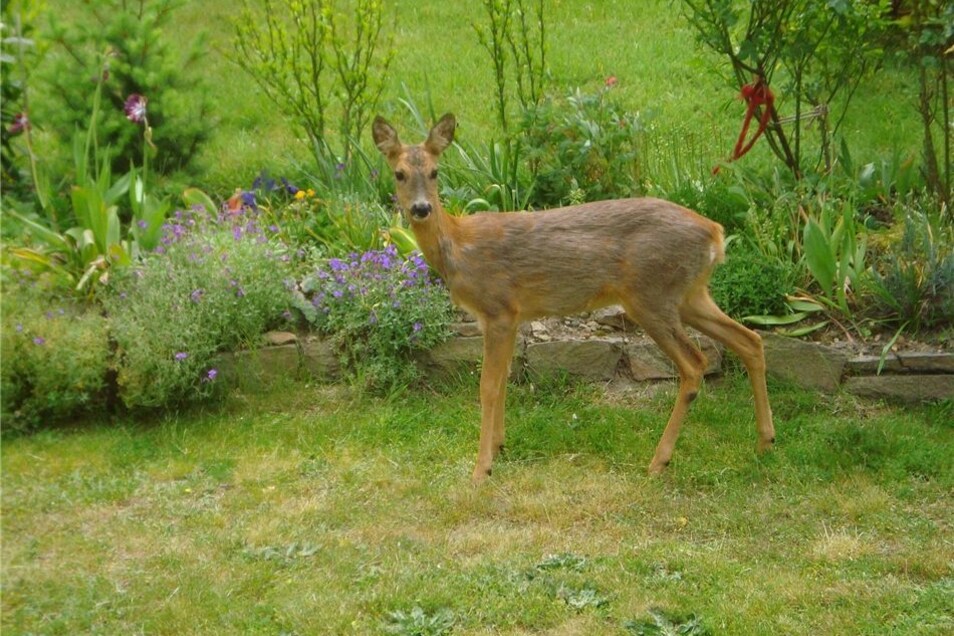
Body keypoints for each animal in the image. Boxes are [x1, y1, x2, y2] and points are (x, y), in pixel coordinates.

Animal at [372, 113, 772, 482]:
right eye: (399, 174)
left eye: (436, 172)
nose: (421, 209)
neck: (458, 246)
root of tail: (716, 233)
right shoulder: (511, 316)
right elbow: (503, 380)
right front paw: (500, 446)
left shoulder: (497, 308)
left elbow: (487, 386)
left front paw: (481, 468)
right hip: (689, 294)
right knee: (749, 339)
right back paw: (764, 442)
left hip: (651, 295)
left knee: (695, 364)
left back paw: (659, 461)